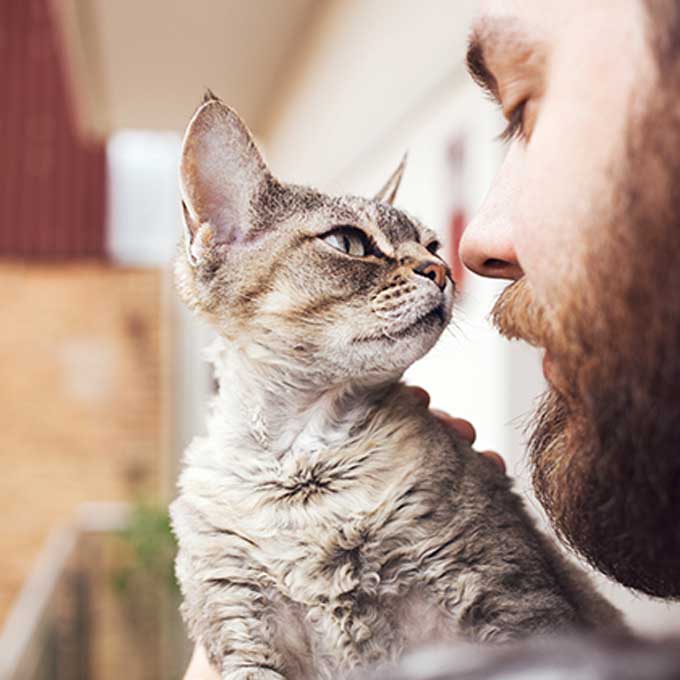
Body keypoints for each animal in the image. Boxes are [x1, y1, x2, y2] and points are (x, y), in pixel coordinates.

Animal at [169, 91, 620, 680]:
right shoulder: (242, 622)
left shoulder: (509, 597)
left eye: (431, 245)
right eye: (349, 242)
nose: (442, 271)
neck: (302, 469)